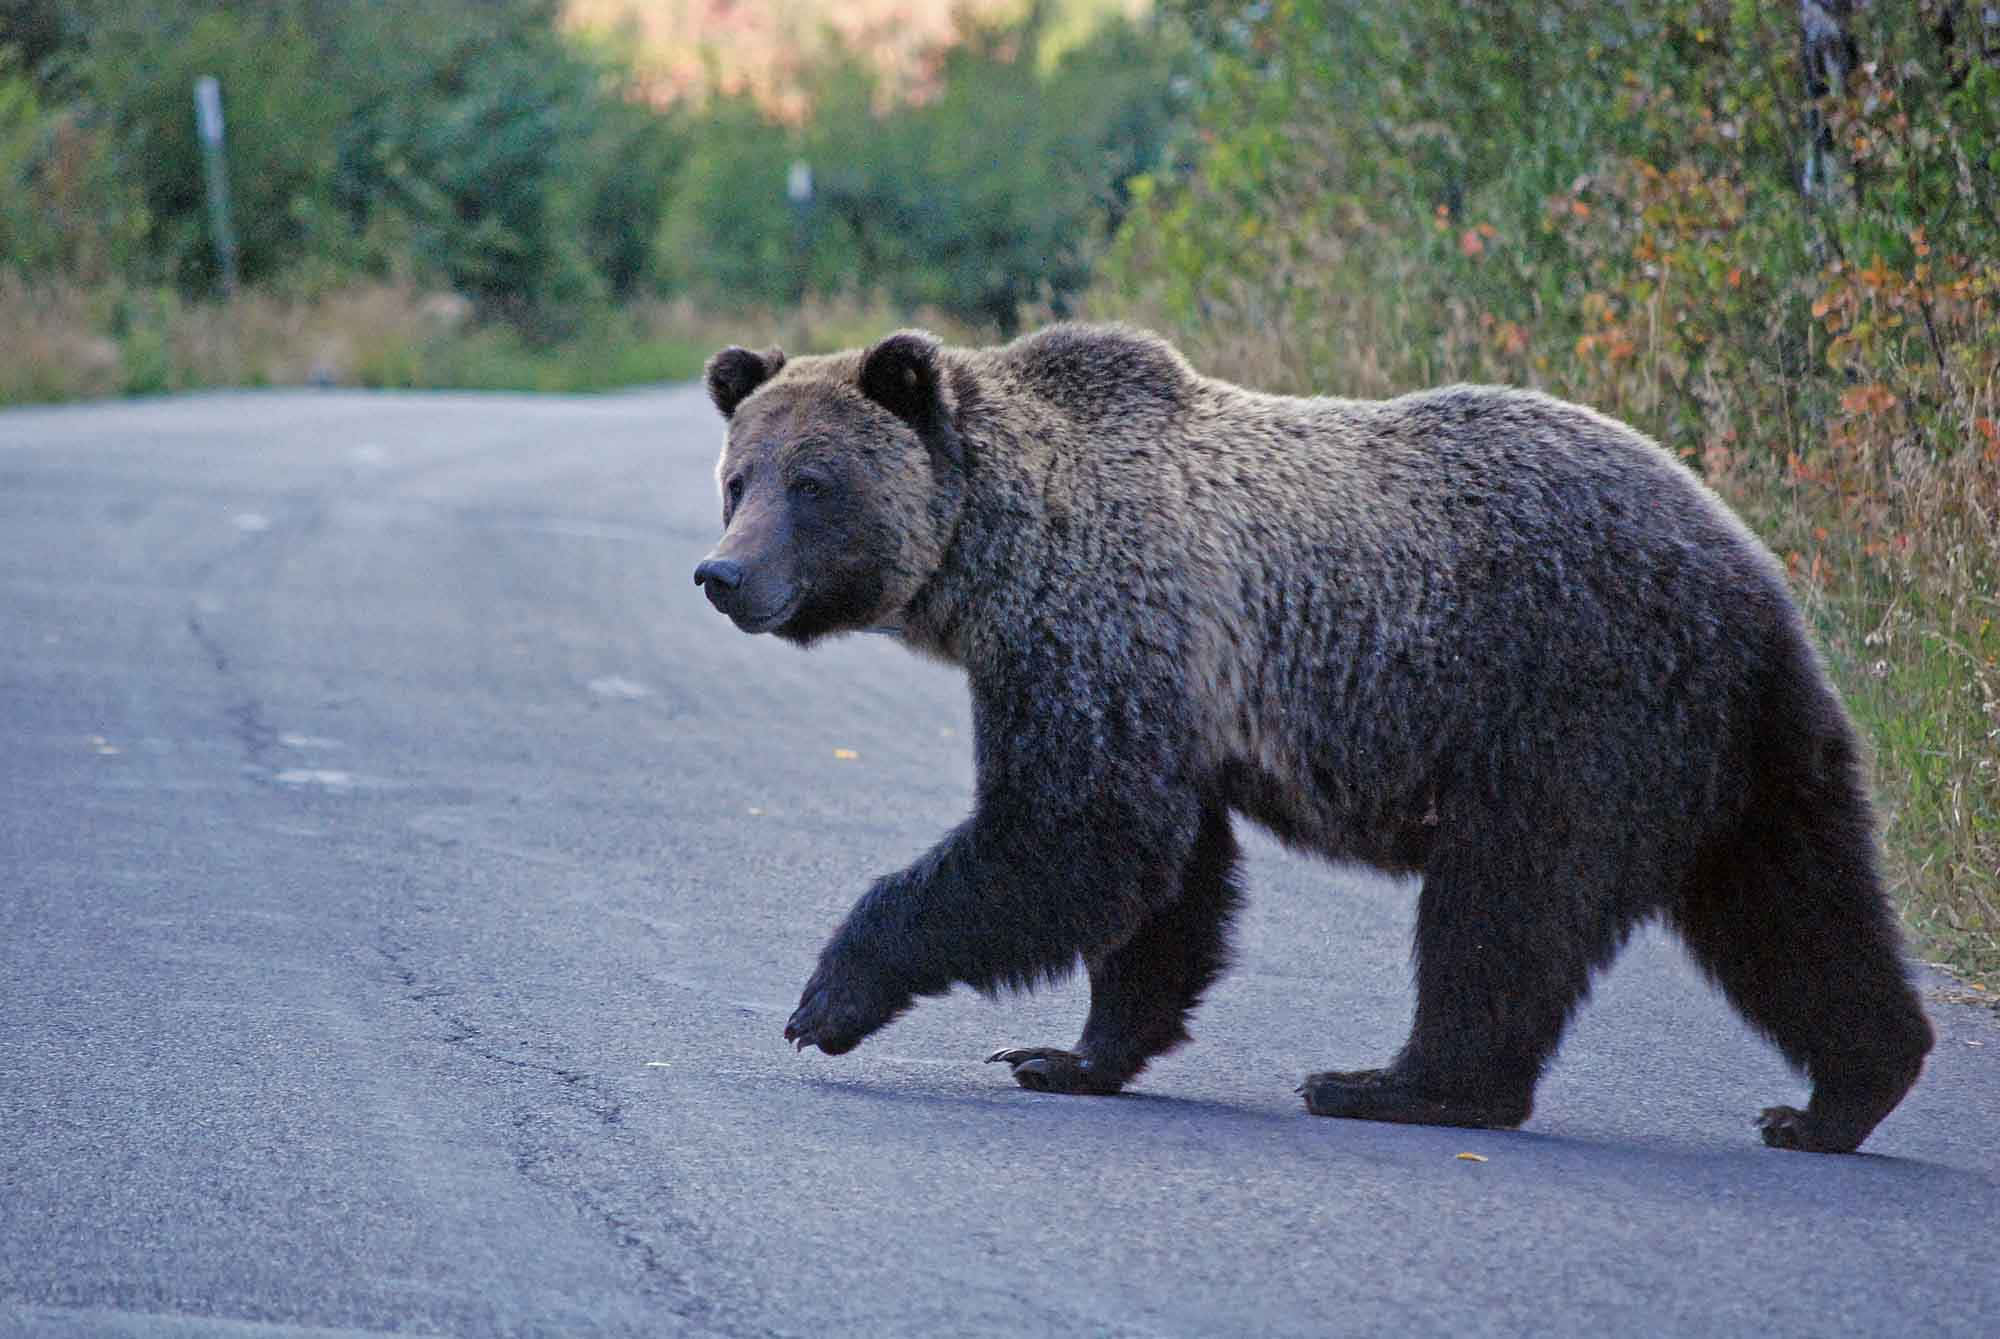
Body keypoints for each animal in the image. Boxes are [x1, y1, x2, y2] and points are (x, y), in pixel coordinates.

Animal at [692, 322, 1933, 1153]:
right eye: (736, 478)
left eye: (813, 481)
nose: (722, 575)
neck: (996, 552)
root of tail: (1753, 574)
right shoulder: (1170, 693)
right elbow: (1163, 884)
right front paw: (1068, 1053)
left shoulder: (1100, 624)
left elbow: (1071, 832)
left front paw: (828, 999)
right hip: (1739, 743)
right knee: (1792, 904)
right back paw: (1840, 1092)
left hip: (1571, 703)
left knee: (1505, 904)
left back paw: (1395, 1083)